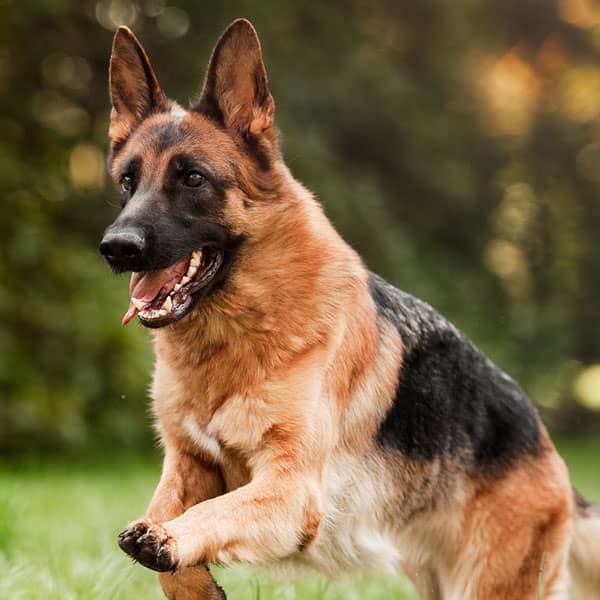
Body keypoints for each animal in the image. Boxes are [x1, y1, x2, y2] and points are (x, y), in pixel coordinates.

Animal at [102, 18, 600, 600]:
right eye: (128, 182)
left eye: (193, 179)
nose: (116, 248)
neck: (236, 336)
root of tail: (553, 460)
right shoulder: (188, 462)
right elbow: (163, 520)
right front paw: (190, 574)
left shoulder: (290, 490)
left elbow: (210, 514)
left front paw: (172, 541)